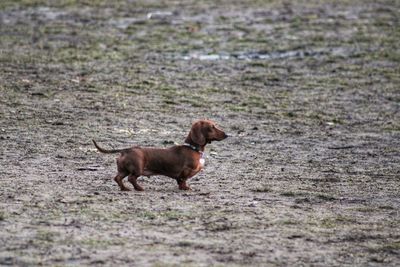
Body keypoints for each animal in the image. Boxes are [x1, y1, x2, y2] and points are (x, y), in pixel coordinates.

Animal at [92, 120, 227, 192]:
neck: (192, 148)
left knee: (118, 178)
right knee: (131, 178)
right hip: (137, 168)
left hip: (123, 170)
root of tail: (127, 150)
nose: (227, 135)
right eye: (212, 127)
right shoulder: (186, 171)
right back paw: (139, 188)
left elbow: (179, 181)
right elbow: (183, 180)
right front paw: (185, 188)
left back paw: (125, 189)